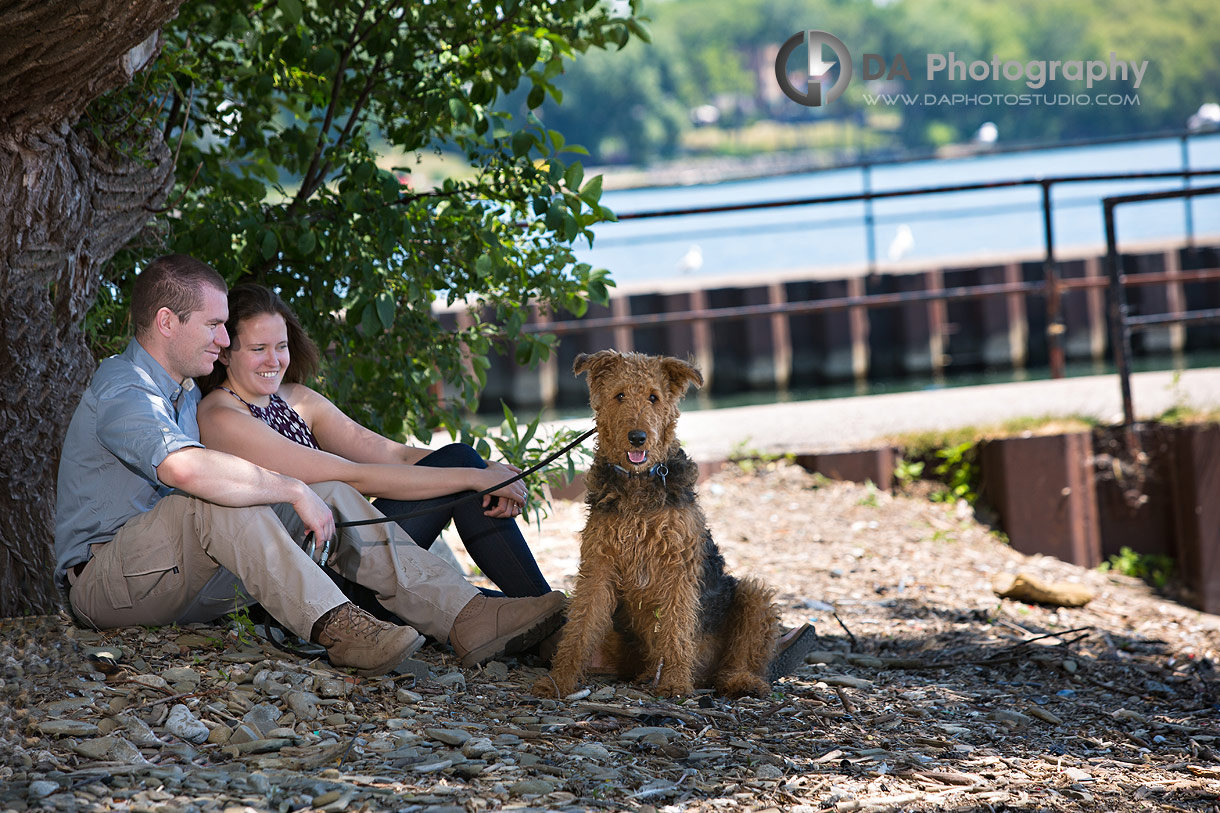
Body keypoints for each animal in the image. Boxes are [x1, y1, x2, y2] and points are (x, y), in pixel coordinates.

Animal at [536, 349, 780, 698]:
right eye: (619, 395)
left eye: (654, 397)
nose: (638, 438)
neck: (639, 483)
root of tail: (704, 674)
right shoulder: (598, 567)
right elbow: (580, 629)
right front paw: (560, 680)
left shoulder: (677, 568)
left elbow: (675, 627)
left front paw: (675, 682)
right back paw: (646, 675)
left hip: (753, 596)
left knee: (736, 659)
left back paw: (739, 681)